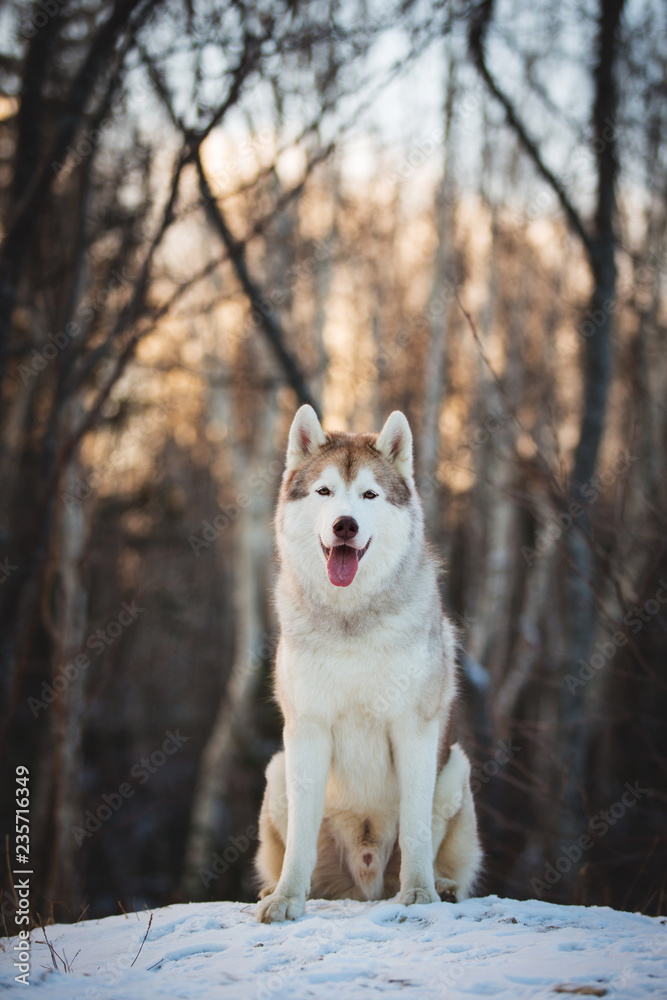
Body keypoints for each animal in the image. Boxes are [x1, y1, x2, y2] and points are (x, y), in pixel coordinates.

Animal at [254, 404, 480, 920]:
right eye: (324, 491)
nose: (345, 525)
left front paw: (418, 893)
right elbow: (299, 842)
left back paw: (440, 886)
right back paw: (283, 889)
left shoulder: (414, 729)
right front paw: (286, 899)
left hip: (455, 770)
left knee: (440, 854)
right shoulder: (307, 729)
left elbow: (416, 830)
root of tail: (363, 886)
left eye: (369, 495)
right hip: (277, 771)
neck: (351, 618)